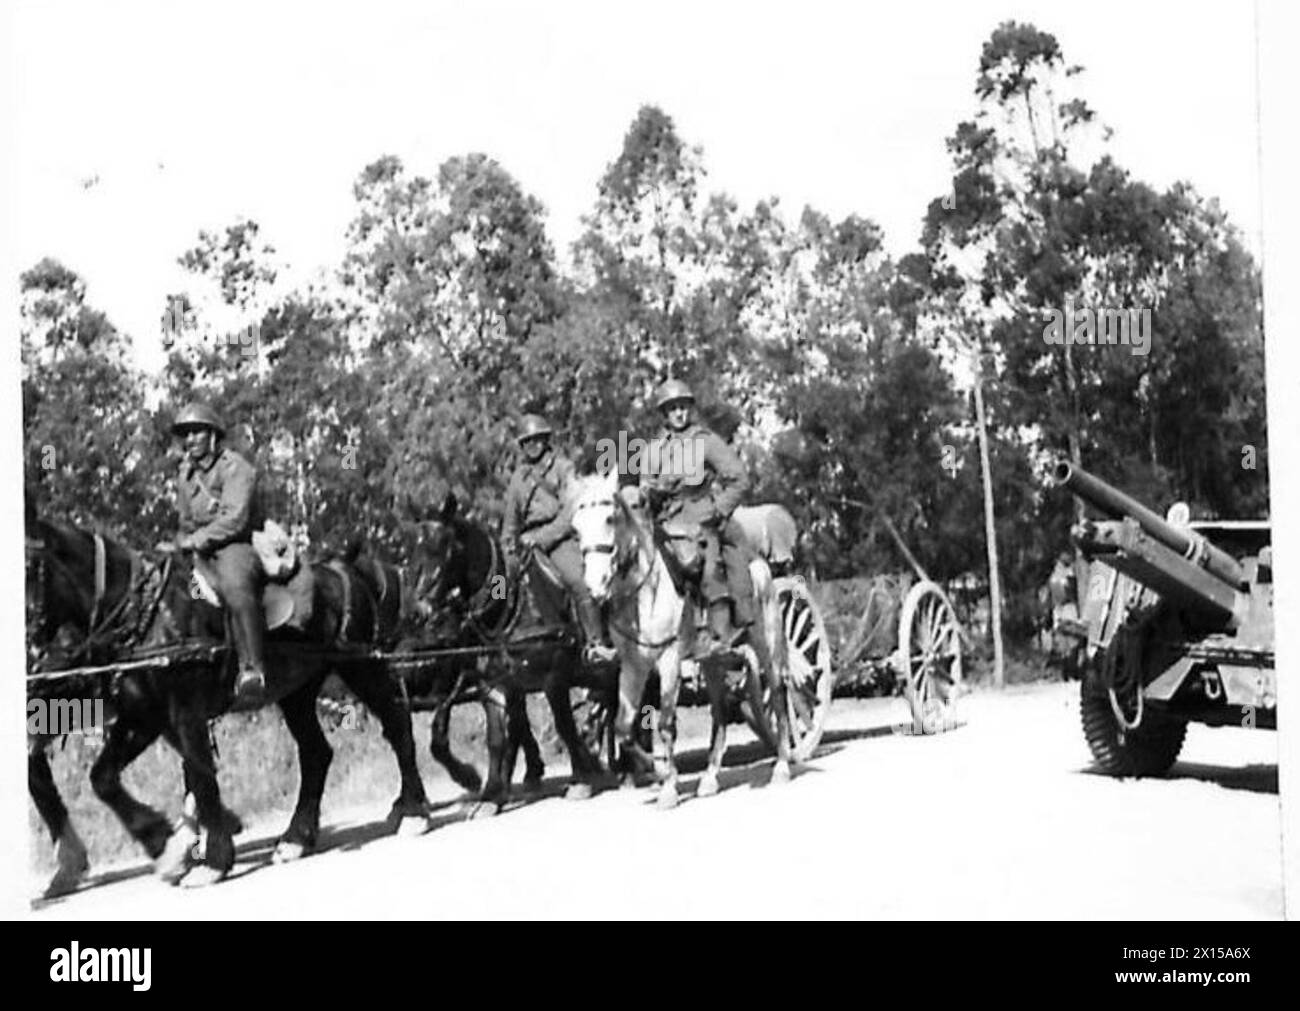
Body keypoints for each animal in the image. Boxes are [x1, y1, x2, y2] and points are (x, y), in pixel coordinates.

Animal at [25, 517, 431, 888]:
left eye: (30, 567)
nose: (34, 659)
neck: (147, 616)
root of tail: (344, 569)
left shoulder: (183, 713)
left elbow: (201, 776)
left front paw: (213, 859)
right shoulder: (142, 717)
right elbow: (104, 779)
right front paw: (165, 845)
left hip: (361, 668)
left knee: (397, 725)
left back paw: (413, 811)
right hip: (297, 693)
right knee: (316, 753)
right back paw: (295, 838)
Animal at [569, 467, 790, 805]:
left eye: (609, 518)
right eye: (576, 528)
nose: (595, 585)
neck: (645, 590)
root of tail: (759, 562)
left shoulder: (669, 659)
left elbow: (664, 723)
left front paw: (669, 786)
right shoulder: (633, 666)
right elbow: (623, 727)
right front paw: (657, 770)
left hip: (767, 644)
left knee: (777, 693)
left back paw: (782, 765)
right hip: (712, 662)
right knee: (719, 712)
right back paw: (709, 778)